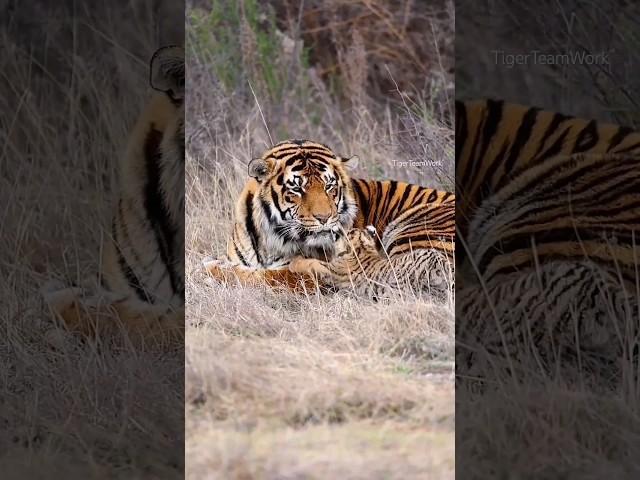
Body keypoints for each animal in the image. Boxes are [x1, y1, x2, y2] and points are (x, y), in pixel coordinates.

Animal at [206, 139, 456, 288]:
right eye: (297, 189)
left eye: (329, 186)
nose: (324, 218)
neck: (267, 241)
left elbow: (267, 276)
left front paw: (209, 269)